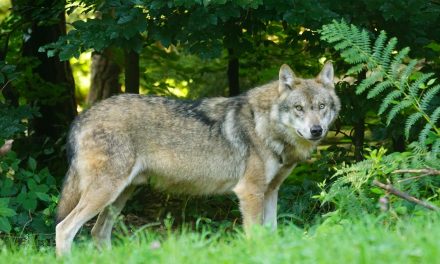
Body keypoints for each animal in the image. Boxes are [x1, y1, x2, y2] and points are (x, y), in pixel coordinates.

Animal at [55, 62, 340, 256]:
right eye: (299, 108)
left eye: (321, 107)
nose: (316, 130)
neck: (265, 125)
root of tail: (81, 116)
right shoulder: (250, 192)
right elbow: (255, 237)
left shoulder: (270, 191)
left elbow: (271, 234)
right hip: (106, 193)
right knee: (64, 228)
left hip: (120, 196)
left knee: (98, 232)